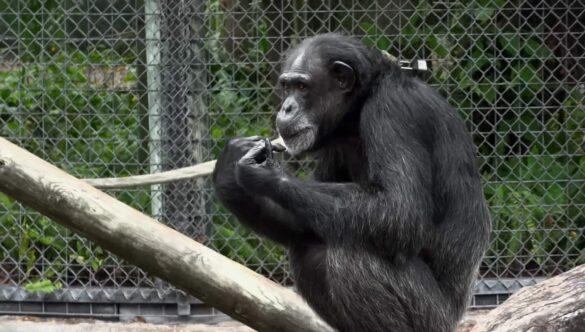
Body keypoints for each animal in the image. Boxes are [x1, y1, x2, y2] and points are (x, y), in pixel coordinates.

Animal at [212, 33, 490, 332]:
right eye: (286, 86)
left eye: (302, 86)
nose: (286, 107)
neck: (356, 110)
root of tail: (456, 315)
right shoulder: (334, 147)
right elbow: (302, 223)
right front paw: (228, 168)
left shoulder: (393, 112)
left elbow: (400, 209)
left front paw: (265, 172)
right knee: (310, 246)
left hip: (431, 316)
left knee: (350, 252)